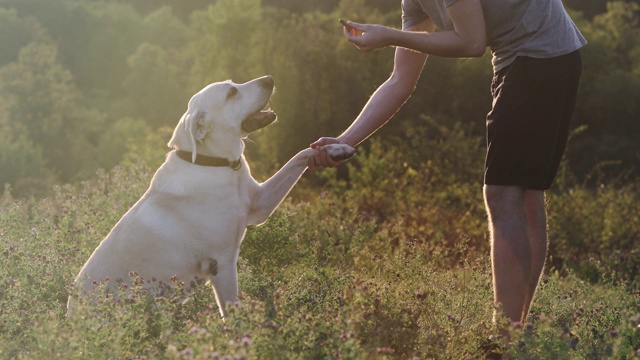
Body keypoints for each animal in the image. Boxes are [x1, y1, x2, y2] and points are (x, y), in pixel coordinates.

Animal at [70, 75, 358, 316]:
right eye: (231, 92)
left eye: (234, 83)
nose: (270, 79)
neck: (216, 164)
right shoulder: (222, 263)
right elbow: (232, 312)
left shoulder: (261, 204)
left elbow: (300, 155)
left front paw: (335, 149)